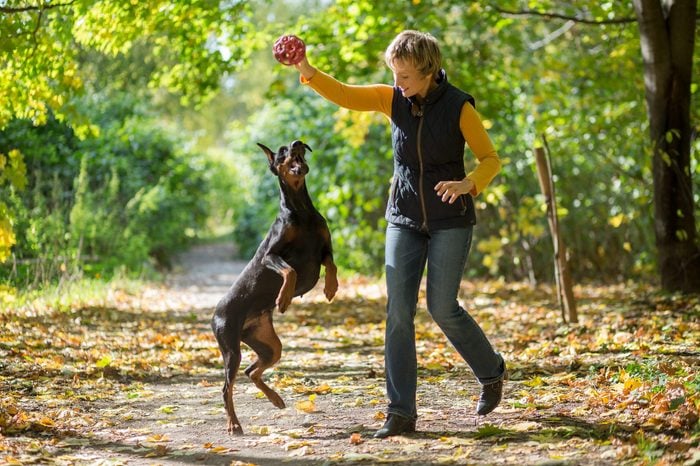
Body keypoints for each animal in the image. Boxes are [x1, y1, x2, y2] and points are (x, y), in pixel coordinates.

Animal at [211, 140, 336, 436]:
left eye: (296, 145)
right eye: (281, 152)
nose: (297, 143)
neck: (301, 211)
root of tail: (214, 314)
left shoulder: (324, 248)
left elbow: (332, 265)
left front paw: (331, 287)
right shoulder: (270, 255)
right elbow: (290, 270)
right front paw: (283, 298)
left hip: (268, 344)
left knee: (251, 371)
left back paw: (276, 398)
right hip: (231, 348)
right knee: (227, 387)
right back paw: (234, 424)